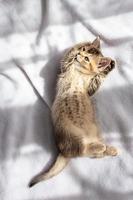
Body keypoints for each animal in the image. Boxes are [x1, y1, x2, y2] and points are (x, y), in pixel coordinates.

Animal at [28, 36, 117, 188]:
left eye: (87, 58)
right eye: (83, 51)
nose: (79, 55)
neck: (79, 72)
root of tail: (62, 150)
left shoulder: (90, 88)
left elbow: (98, 76)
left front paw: (109, 64)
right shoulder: (64, 67)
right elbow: (68, 55)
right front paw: (87, 45)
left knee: (90, 154)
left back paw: (109, 149)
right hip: (71, 136)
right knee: (81, 151)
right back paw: (101, 147)